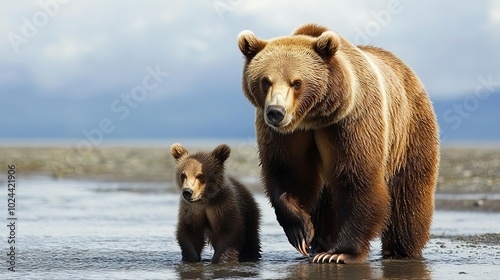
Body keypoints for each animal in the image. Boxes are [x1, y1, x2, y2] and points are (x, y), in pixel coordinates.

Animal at [237, 23, 438, 262]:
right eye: (266, 81)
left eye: (297, 82)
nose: (276, 112)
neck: (313, 117)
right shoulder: (286, 135)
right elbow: (288, 173)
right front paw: (301, 232)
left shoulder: (350, 122)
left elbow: (356, 178)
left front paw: (339, 253)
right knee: (324, 201)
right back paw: (319, 243)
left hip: (410, 130)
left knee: (407, 196)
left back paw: (401, 250)